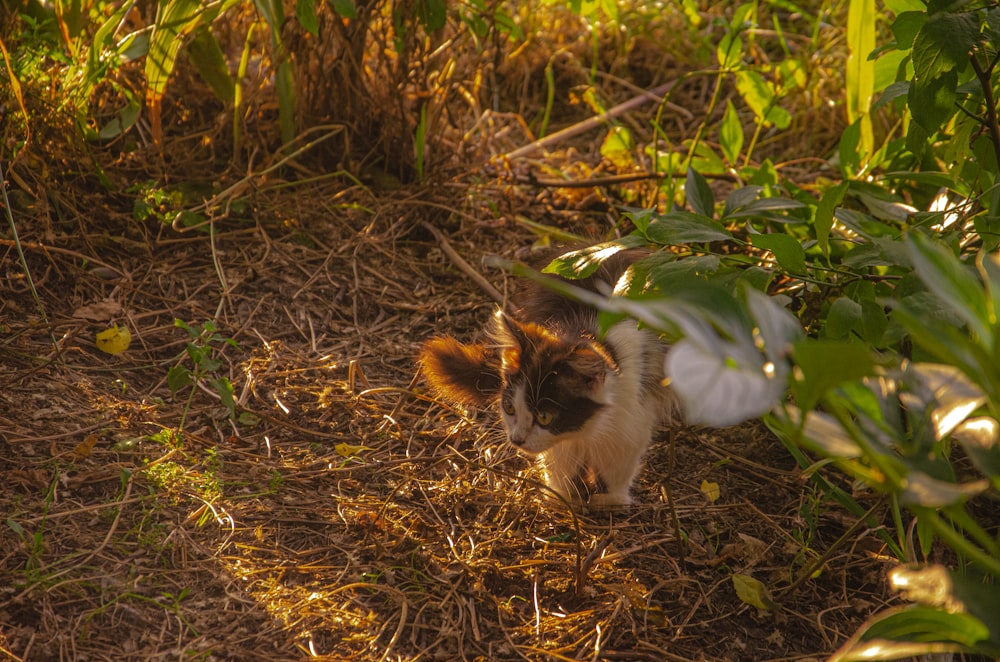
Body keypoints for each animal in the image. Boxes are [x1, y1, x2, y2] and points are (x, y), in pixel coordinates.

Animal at [418, 249, 676, 508]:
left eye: (544, 416)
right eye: (509, 407)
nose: (517, 439)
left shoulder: (632, 413)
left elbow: (619, 459)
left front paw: (610, 498)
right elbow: (560, 458)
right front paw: (563, 495)